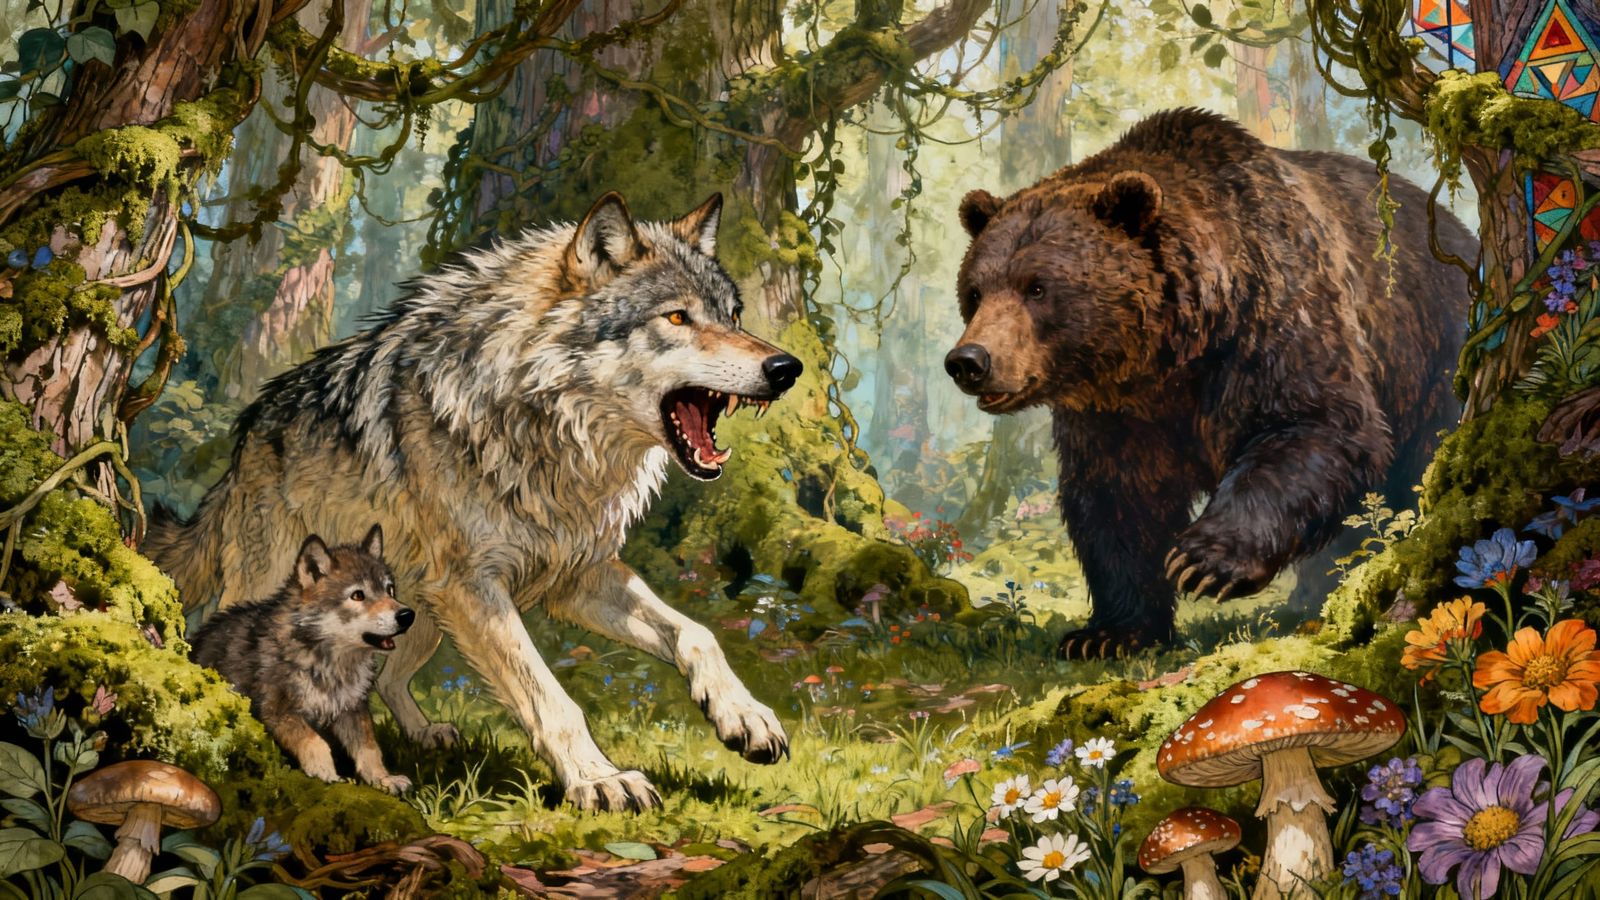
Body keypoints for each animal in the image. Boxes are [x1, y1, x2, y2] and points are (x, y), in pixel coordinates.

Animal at [190, 525, 415, 793]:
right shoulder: (277, 711)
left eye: (390, 590)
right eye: (358, 595)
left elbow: (370, 750)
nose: (407, 615)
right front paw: (326, 773)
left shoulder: (352, 708)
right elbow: (315, 741)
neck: (330, 662)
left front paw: (383, 779)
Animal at [945, 108, 1475, 658]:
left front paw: (1203, 562)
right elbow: (1117, 499)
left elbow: (1317, 427)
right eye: (975, 291)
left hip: (1435, 354)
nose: (970, 360)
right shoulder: (1118, 412)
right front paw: (1109, 633)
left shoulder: (1273, 325)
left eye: (1037, 287)